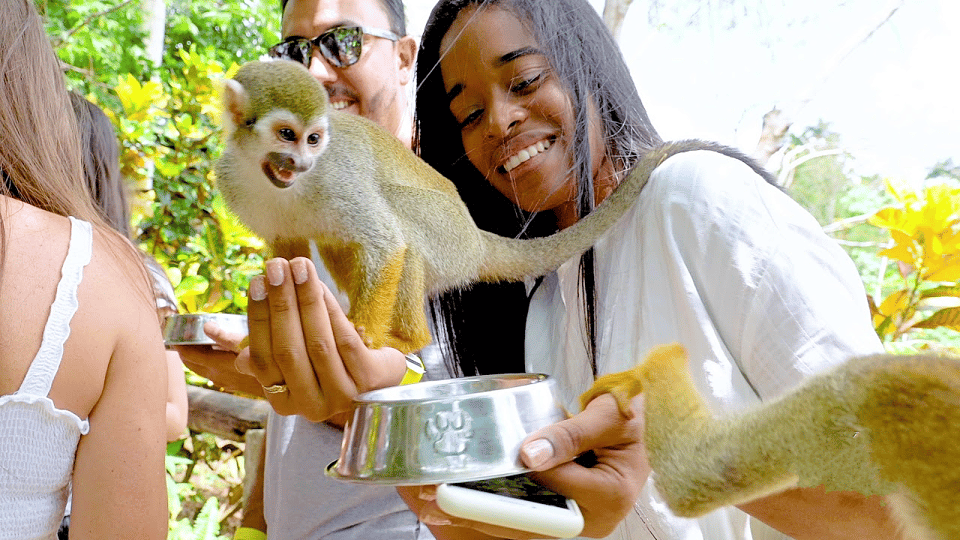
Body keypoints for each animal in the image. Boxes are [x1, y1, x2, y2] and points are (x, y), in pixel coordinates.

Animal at [216, 59, 774, 354]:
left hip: (448, 239)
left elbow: (387, 240)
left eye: (313, 139)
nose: (301, 162)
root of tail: (474, 235)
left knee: (399, 226)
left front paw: (366, 336)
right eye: (286, 136)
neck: (280, 185)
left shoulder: (338, 178)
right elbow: (290, 246)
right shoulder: (234, 183)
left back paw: (407, 340)